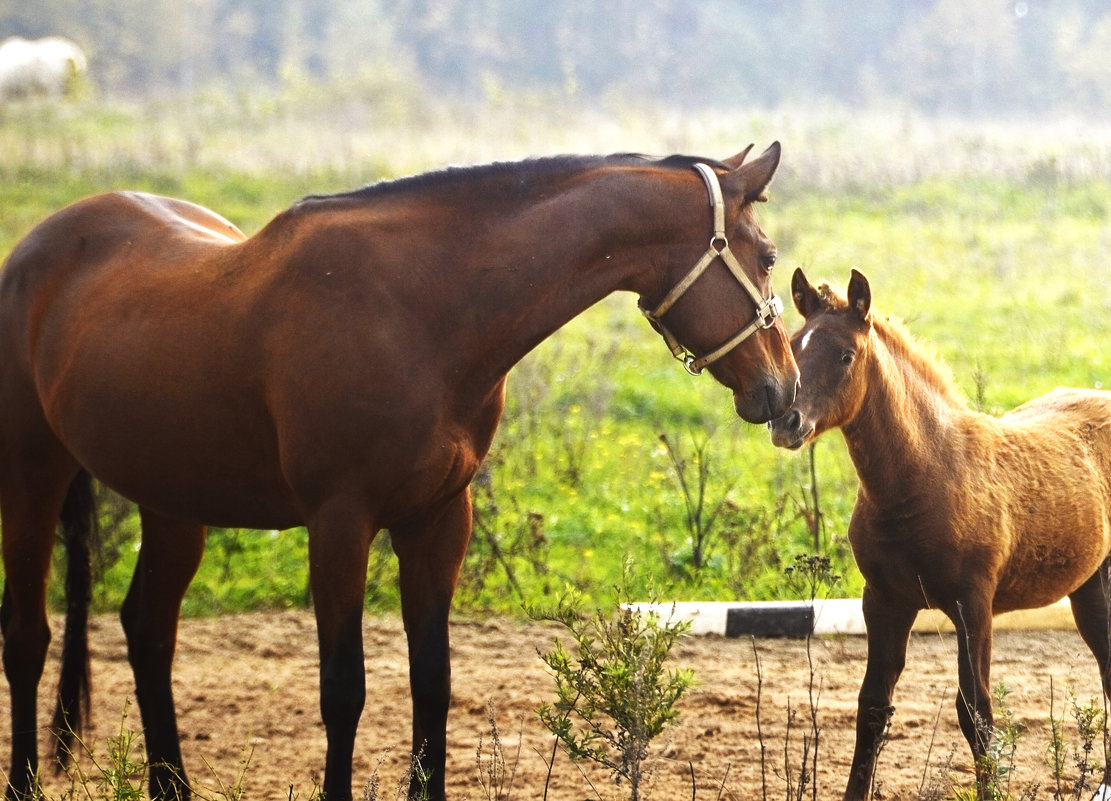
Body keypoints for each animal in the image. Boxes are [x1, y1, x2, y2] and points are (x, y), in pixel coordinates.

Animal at [0, 145, 799, 799]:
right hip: (34, 477)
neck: (422, 308)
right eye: (765, 255)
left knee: (147, 630)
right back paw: (26, 780)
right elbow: (343, 690)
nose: (785, 390)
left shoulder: (438, 520)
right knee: (28, 638)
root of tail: (38, 245)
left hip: (172, 500)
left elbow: (432, 683)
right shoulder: (339, 522)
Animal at [768, 268, 1111, 799]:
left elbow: (976, 712)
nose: (785, 421)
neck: (925, 476)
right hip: (1091, 585)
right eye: (793, 344)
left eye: (846, 355)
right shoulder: (884, 601)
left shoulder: (974, 605)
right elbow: (871, 707)